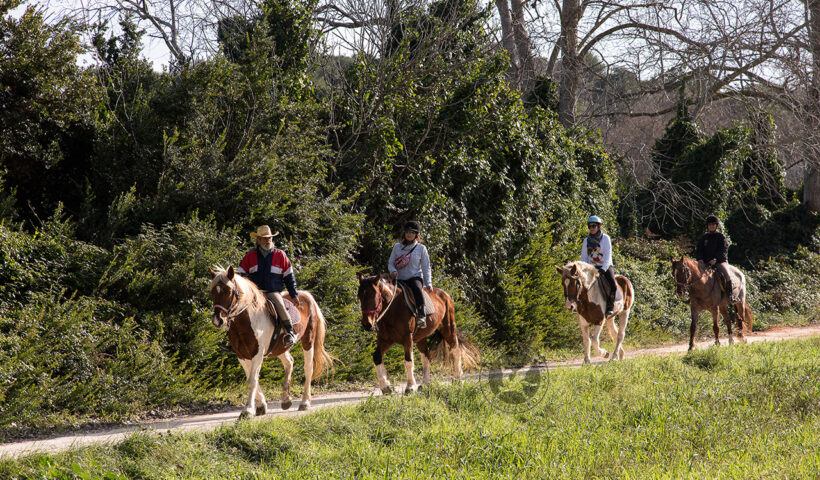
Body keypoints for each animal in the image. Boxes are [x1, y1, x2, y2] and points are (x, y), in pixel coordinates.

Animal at [208, 264, 334, 418]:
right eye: (213, 292)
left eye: (229, 291)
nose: (218, 320)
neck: (247, 320)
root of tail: (305, 295)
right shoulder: (241, 356)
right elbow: (252, 379)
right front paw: (261, 406)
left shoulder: (257, 354)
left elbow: (252, 381)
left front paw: (247, 410)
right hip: (280, 348)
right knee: (289, 362)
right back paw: (286, 400)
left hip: (308, 341)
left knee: (308, 369)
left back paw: (304, 402)